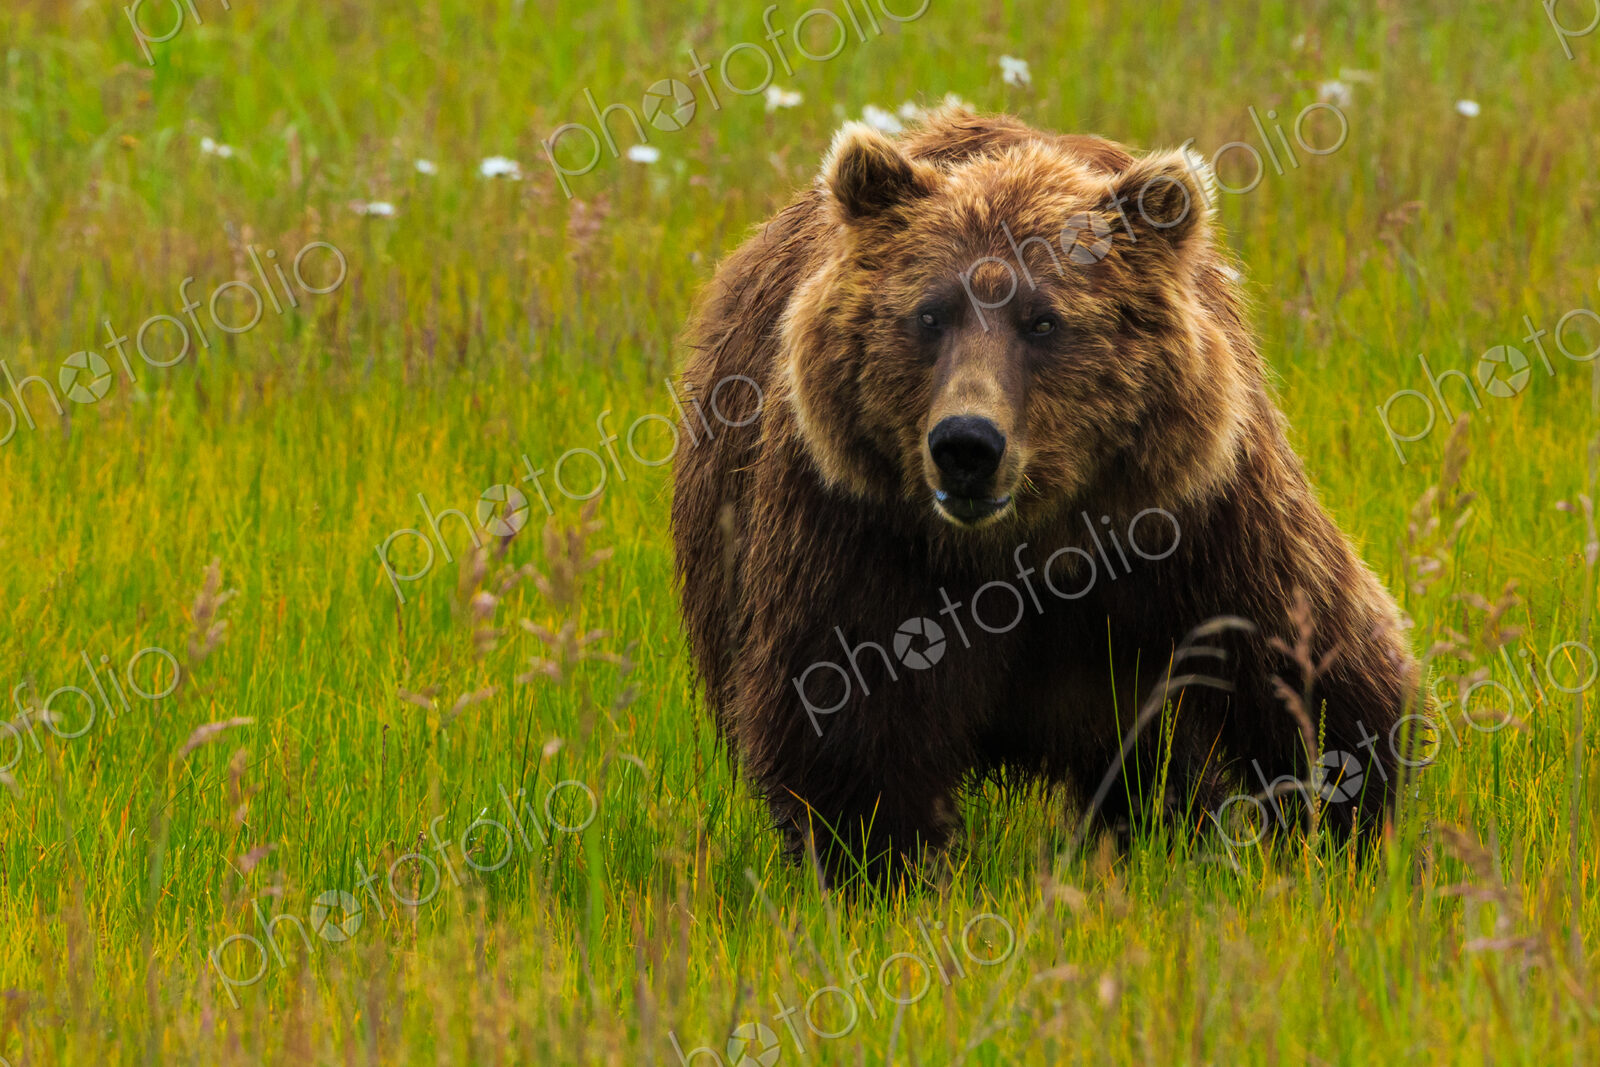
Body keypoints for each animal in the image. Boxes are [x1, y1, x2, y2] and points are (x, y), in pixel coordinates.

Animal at [671, 107, 1420, 882]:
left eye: (1044, 320)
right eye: (930, 314)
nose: (966, 444)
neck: (1029, 544)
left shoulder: (1201, 523)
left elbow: (1316, 666)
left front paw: (1346, 836)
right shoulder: (859, 533)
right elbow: (848, 726)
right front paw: (882, 871)